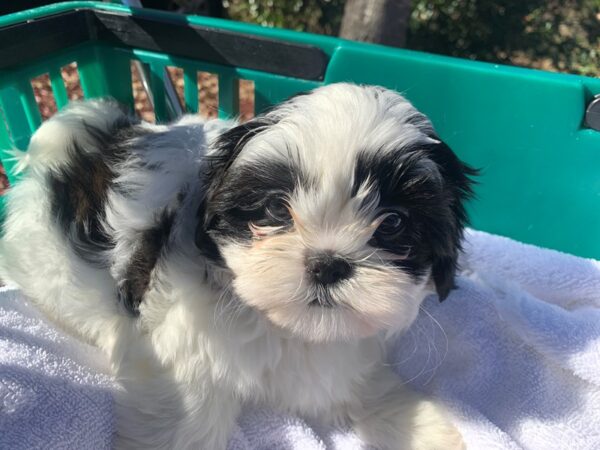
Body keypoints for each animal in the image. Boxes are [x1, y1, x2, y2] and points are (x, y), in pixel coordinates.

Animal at [2, 82, 476, 448]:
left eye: (393, 223)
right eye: (275, 209)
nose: (327, 264)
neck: (283, 327)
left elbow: (364, 388)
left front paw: (422, 429)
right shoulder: (183, 364)